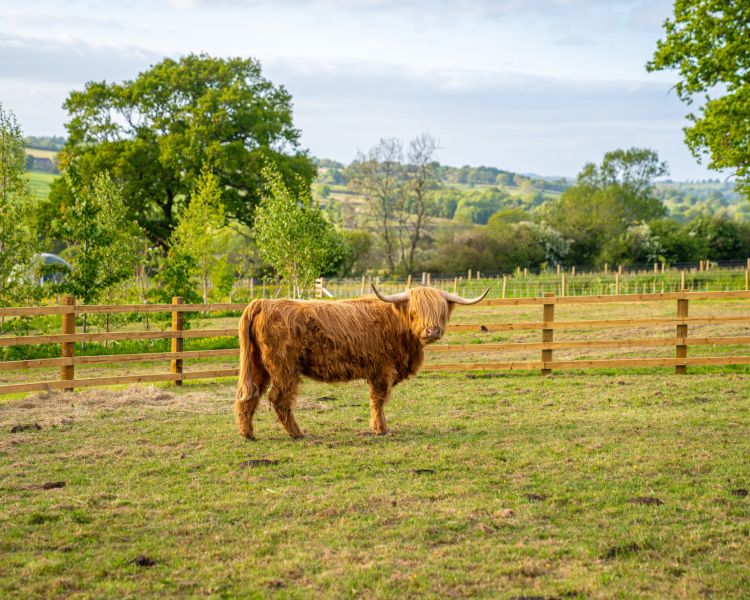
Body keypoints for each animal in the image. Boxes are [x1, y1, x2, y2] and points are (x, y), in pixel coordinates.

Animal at [235, 285, 488, 439]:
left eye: (441, 311)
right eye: (415, 311)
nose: (432, 331)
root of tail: (263, 302)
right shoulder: (381, 370)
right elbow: (378, 400)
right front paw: (381, 429)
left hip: (257, 364)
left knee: (248, 395)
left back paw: (248, 434)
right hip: (284, 367)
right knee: (279, 398)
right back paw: (298, 433)